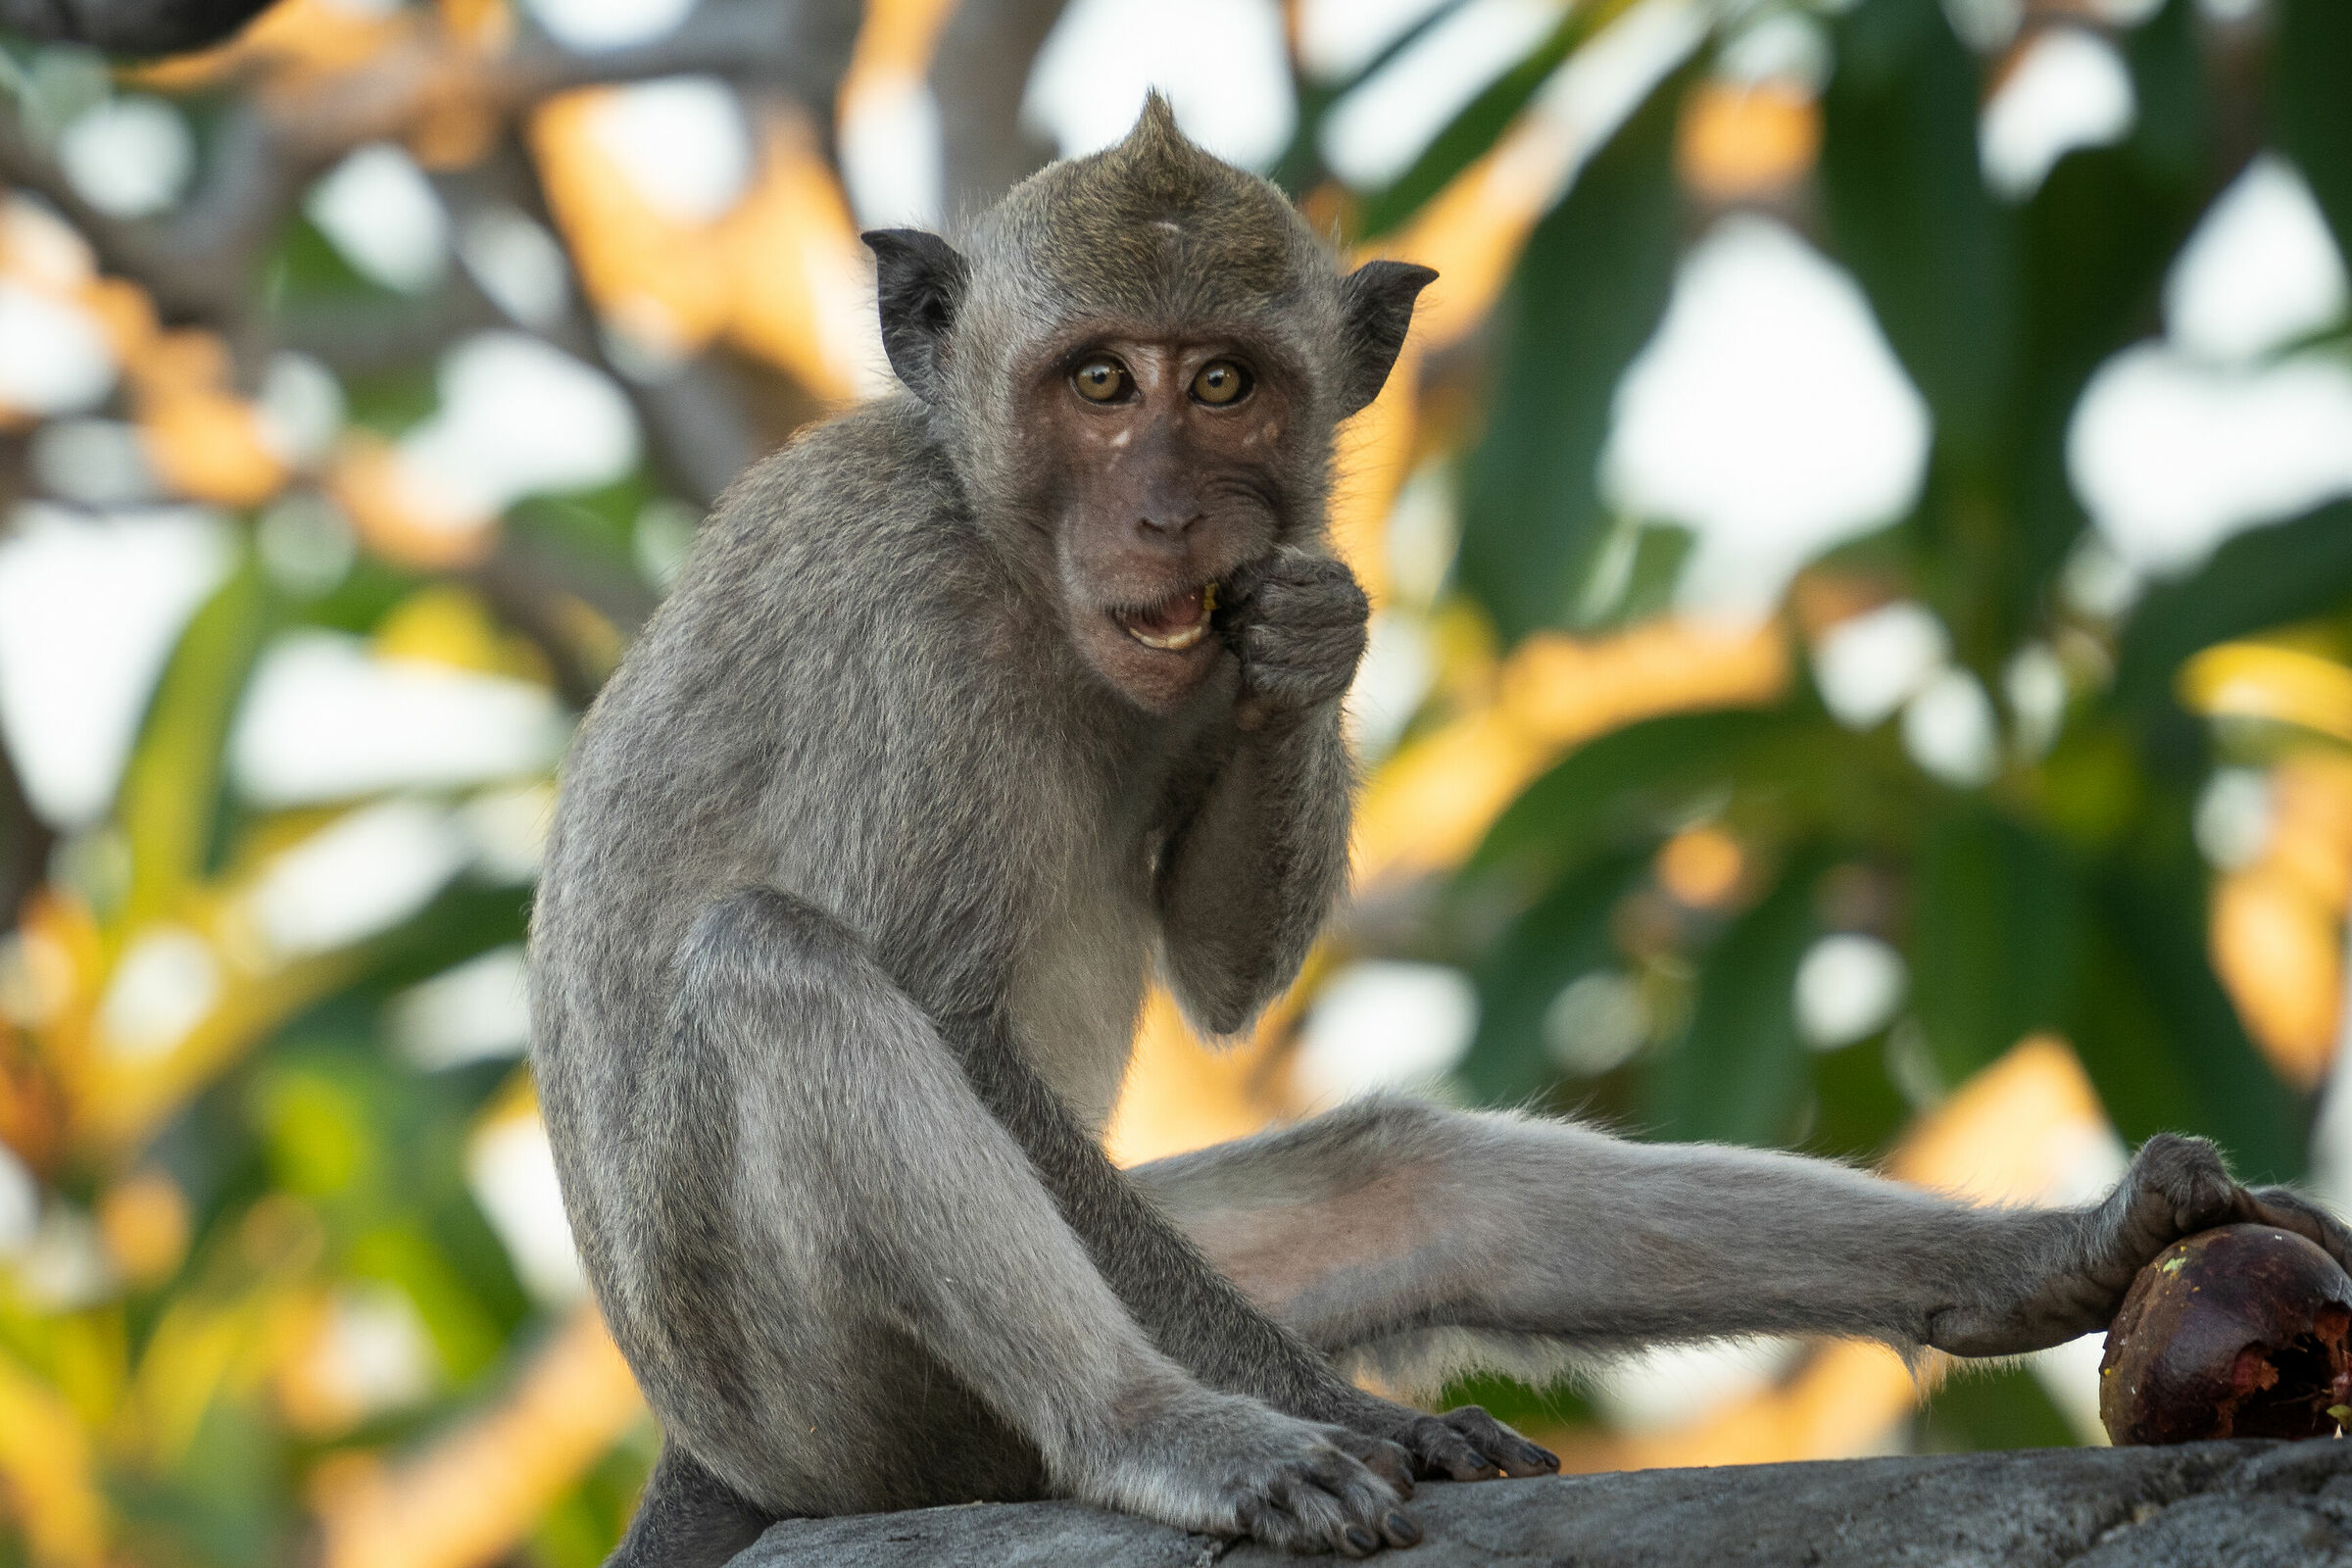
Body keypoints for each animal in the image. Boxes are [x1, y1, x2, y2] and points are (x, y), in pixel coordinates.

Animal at [527, 96, 2352, 1563]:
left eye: (1223, 385)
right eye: (1100, 384)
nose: (1167, 513)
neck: (1006, 544)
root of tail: (708, 1451)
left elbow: (1221, 965)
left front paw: (1308, 649)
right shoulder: (911, 626)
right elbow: (955, 1021)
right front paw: (1366, 1426)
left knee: (1428, 1181)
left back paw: (2050, 1260)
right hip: (834, 1404)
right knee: (776, 971)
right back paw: (1176, 1432)